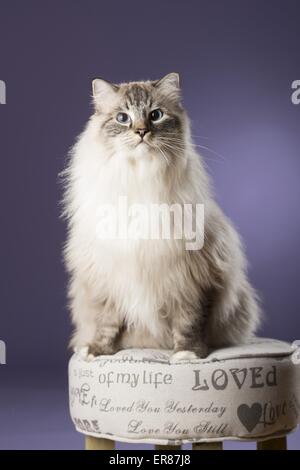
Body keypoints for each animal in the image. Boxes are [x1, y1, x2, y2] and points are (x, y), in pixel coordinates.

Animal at [62, 72, 260, 360]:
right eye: (122, 118)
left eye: (155, 115)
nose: (141, 131)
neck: (141, 177)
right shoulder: (108, 278)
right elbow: (106, 323)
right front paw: (97, 350)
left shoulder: (192, 277)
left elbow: (189, 322)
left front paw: (186, 354)